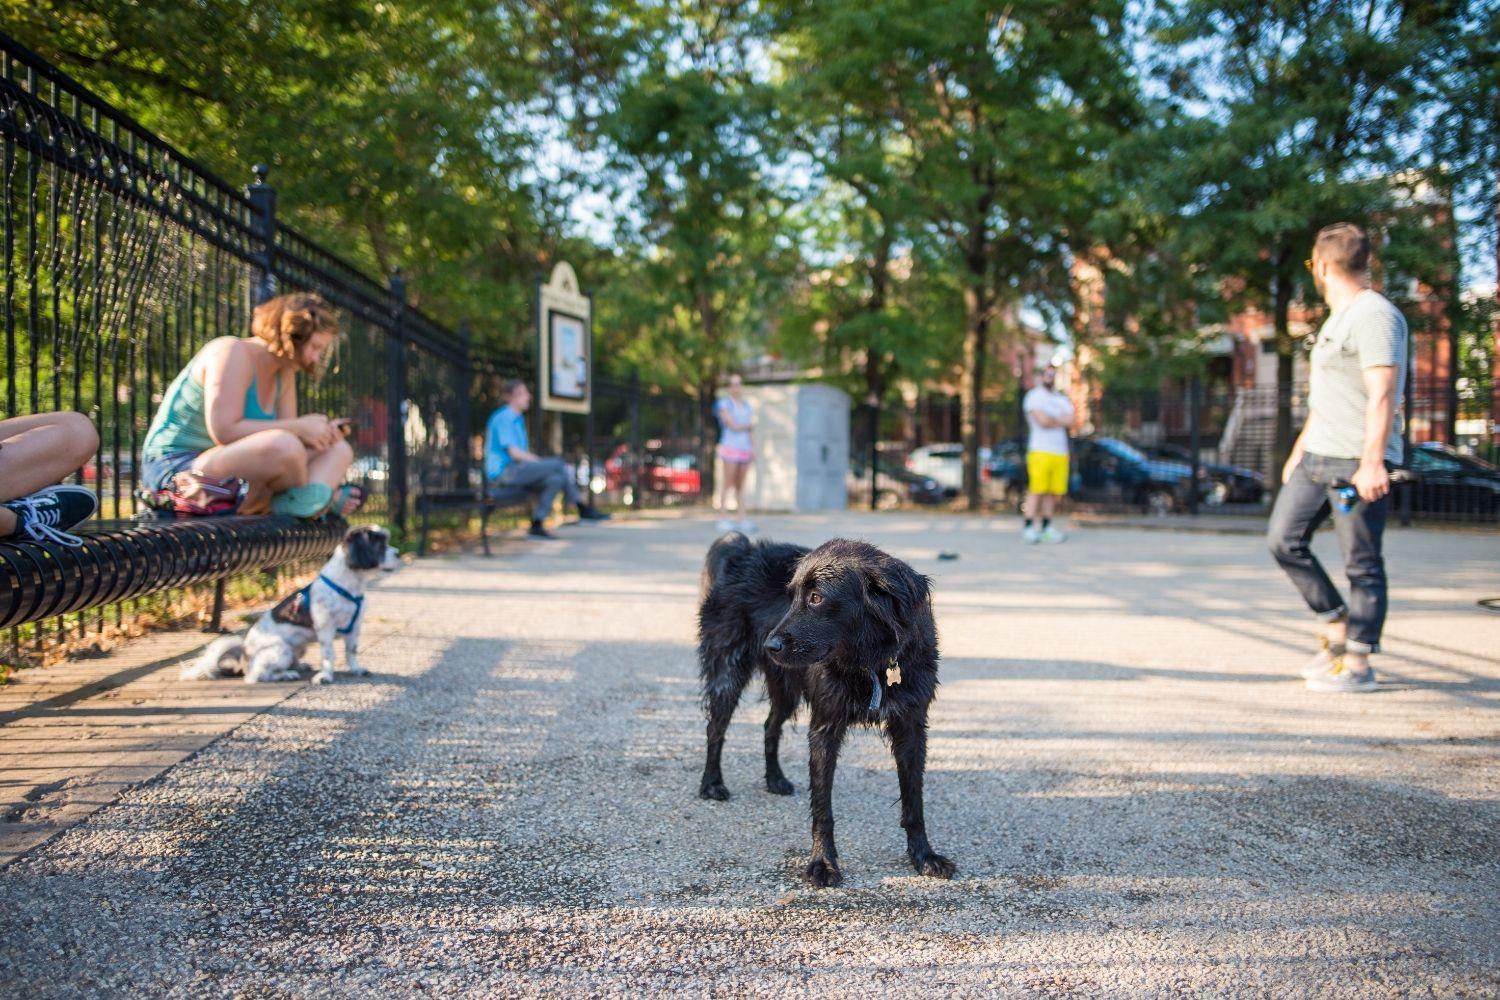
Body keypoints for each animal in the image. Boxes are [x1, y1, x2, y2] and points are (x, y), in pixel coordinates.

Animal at [181, 527, 399, 683]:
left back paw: (298, 666)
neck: (349, 586)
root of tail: (244, 657)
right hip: (280, 649)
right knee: (257, 677)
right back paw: (286, 675)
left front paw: (356, 669)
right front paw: (326, 676)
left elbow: (351, 651)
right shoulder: (326, 629)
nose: (397, 553)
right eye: (380, 544)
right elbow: (329, 654)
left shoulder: (354, 627)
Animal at [696, 536, 954, 887]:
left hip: (786, 688)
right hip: (728, 673)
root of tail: (743, 549)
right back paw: (711, 783)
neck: (871, 660)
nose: (770, 645)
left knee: (769, 725)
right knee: (716, 729)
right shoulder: (825, 727)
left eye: (816, 598)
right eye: (791, 597)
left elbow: (914, 802)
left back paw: (775, 779)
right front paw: (823, 863)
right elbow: (822, 807)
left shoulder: (911, 729)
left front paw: (924, 857)